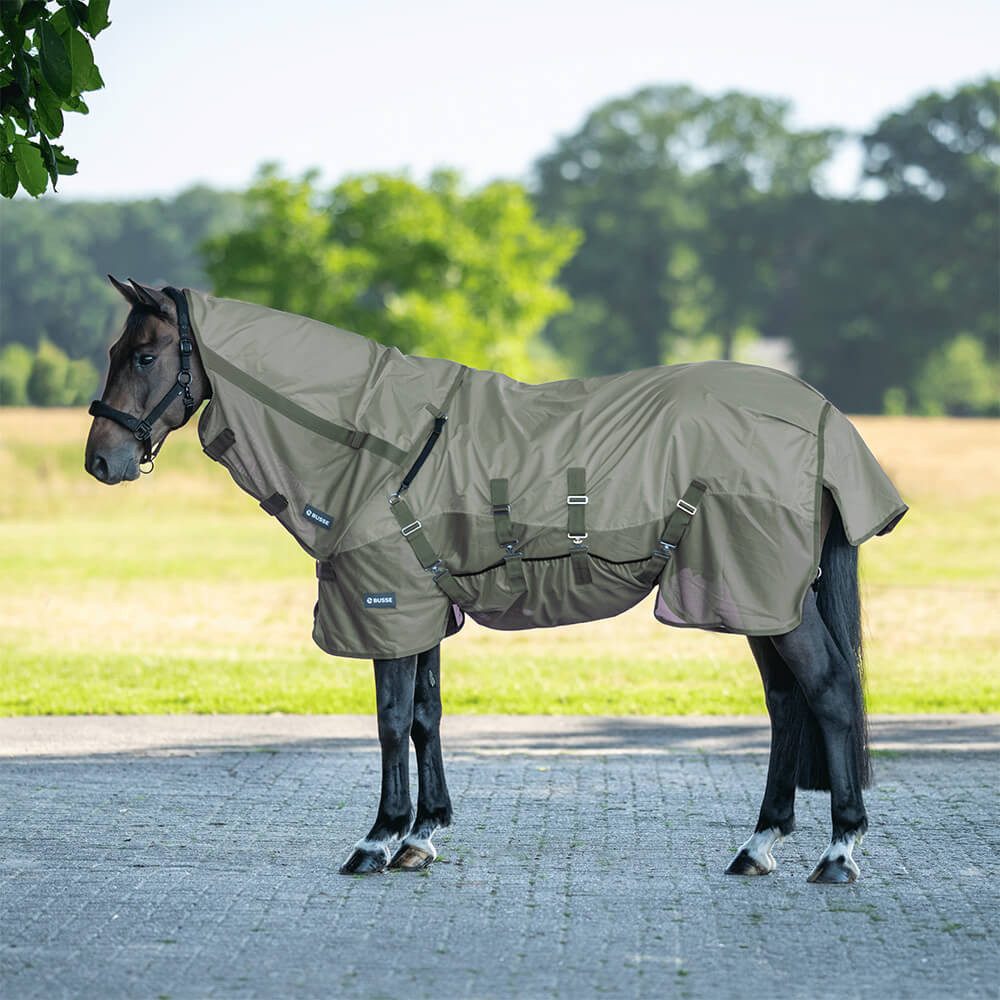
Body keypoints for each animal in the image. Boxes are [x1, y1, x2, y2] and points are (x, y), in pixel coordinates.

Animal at [85, 276, 906, 883]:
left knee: (830, 691)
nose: (100, 460)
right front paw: (422, 836)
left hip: (766, 592)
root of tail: (823, 419)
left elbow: (390, 721)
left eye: (145, 356)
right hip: (755, 596)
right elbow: (426, 715)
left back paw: (839, 853)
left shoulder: (387, 603)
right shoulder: (420, 605)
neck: (375, 441)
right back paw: (759, 846)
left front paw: (378, 840)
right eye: (120, 349)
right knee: (787, 705)